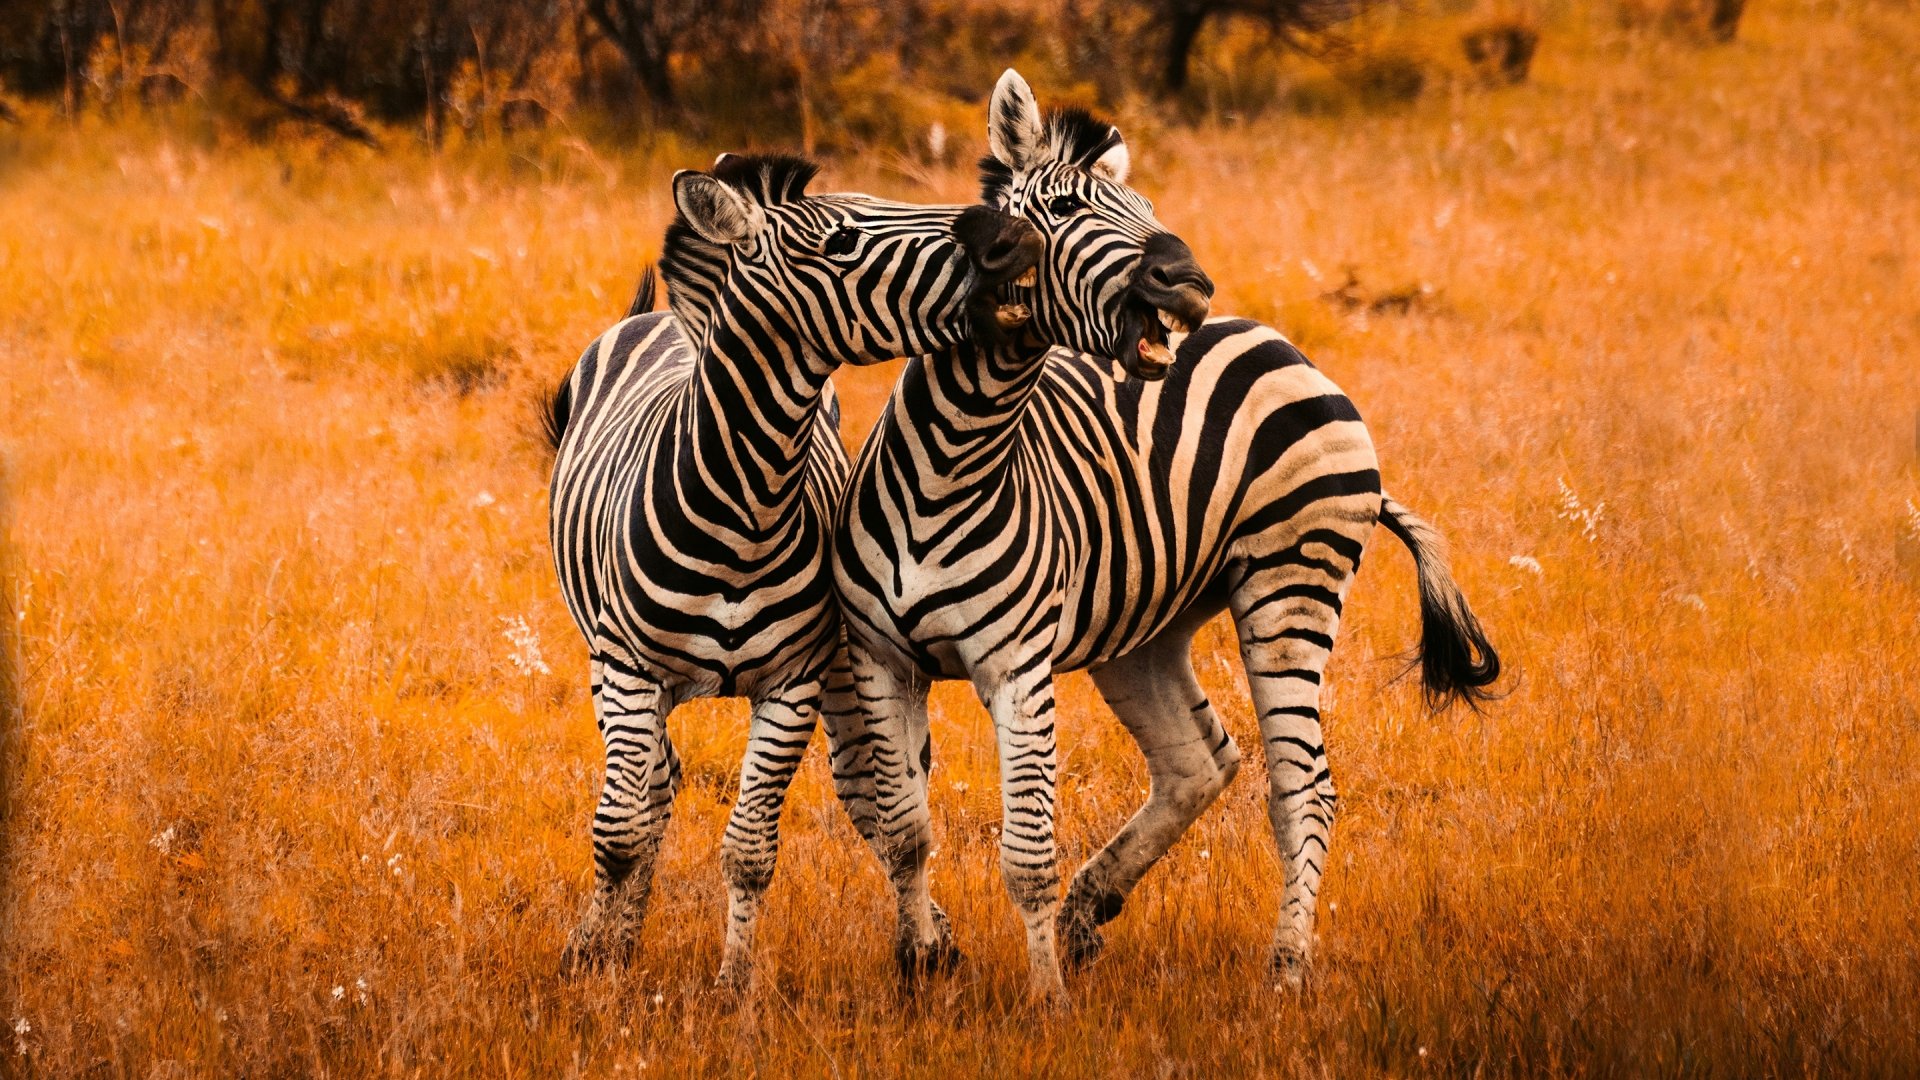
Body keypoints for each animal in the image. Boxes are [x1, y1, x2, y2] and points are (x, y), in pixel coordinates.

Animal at [543, 151, 1040, 988]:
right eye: (840, 242)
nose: (1009, 240)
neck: (745, 500)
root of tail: (660, 317)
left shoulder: (793, 682)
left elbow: (749, 850)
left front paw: (734, 986)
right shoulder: (631, 671)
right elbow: (618, 833)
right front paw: (599, 971)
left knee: (866, 789)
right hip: (605, 663)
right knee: (650, 790)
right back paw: (608, 939)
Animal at [827, 70, 1500, 1006]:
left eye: (1146, 206)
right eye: (1064, 206)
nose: (1189, 281)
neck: (953, 463)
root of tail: (1284, 345)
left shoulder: (1017, 667)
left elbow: (1026, 854)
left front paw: (1045, 1006)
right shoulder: (880, 658)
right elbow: (902, 832)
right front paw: (922, 972)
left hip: (1289, 586)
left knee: (1303, 790)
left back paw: (1286, 969)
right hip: (1145, 624)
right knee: (1200, 761)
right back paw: (1090, 912)